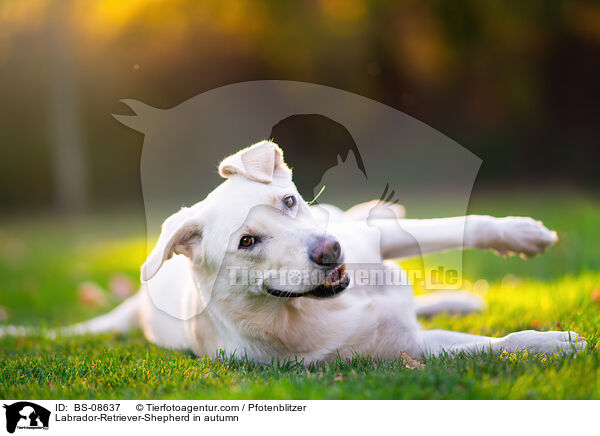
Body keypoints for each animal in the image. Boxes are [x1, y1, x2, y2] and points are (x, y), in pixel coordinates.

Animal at [68, 141, 584, 362]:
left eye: (288, 202)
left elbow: (463, 226)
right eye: (247, 241)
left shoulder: (373, 243)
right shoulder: (403, 351)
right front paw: (554, 343)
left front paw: (522, 234)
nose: (330, 250)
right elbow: (501, 343)